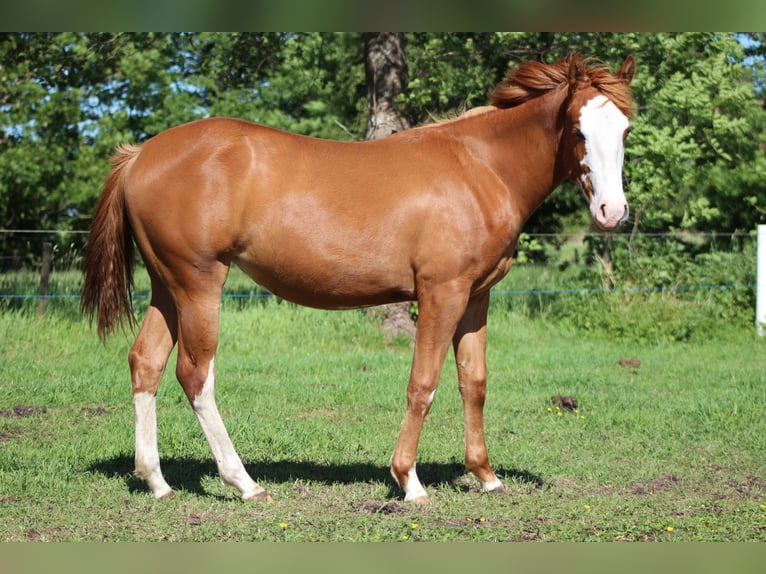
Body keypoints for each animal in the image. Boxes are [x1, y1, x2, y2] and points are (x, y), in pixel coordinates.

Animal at [81, 54, 636, 504]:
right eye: (578, 130)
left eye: (625, 131)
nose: (612, 212)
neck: (480, 169)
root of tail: (140, 156)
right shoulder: (442, 294)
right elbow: (423, 383)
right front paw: (409, 481)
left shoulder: (476, 298)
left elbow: (473, 383)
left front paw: (486, 476)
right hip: (198, 285)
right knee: (195, 376)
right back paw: (244, 483)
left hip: (167, 289)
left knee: (146, 363)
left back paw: (157, 482)